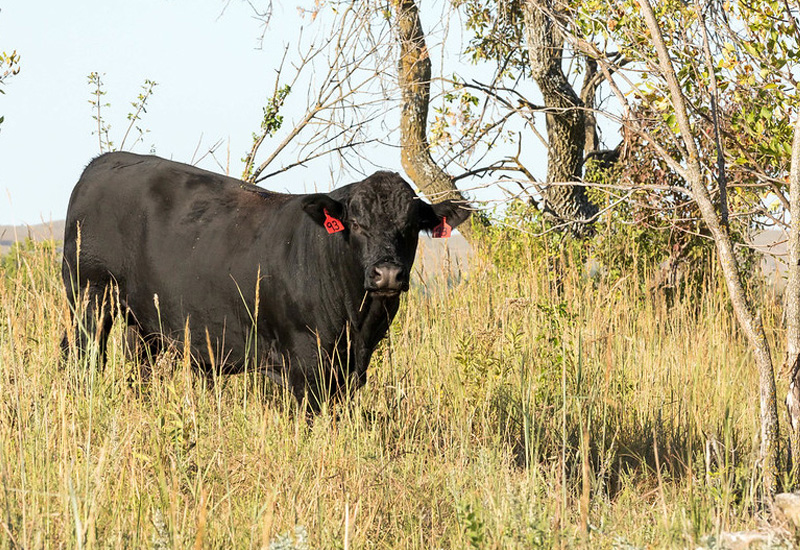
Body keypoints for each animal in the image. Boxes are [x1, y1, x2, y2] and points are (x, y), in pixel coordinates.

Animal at [64, 153, 476, 408]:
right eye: (357, 224)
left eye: (411, 226)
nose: (387, 273)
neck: (357, 322)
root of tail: (100, 164)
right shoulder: (305, 362)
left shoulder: (348, 369)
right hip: (89, 298)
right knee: (82, 359)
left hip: (143, 322)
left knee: (140, 369)